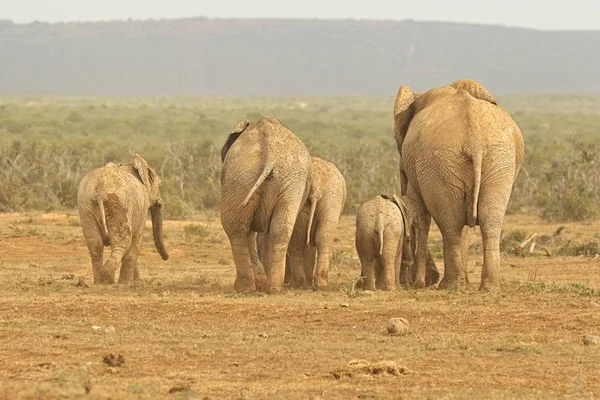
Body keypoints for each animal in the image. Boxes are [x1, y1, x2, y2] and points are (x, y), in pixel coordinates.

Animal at [77, 153, 169, 284]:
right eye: (160, 186)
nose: (166, 257)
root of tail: (100, 187)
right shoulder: (142, 207)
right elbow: (136, 239)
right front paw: (129, 283)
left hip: (85, 205)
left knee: (95, 244)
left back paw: (99, 281)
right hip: (119, 203)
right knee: (123, 242)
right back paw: (107, 279)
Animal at [221, 117, 314, 292]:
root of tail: (270, 155)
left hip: (241, 178)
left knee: (235, 228)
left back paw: (244, 288)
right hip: (286, 181)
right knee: (280, 230)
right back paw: (273, 288)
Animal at [286, 156, 346, 290]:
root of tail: (317, 185)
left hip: (329, 195)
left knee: (303, 239)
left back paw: (303, 285)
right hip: (331, 196)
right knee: (319, 238)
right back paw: (314, 285)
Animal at [392, 78, 524, 290]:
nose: (408, 281)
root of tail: (475, 142)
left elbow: (420, 214)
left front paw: (419, 284)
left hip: (440, 163)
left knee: (451, 222)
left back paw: (450, 285)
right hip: (498, 161)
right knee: (489, 219)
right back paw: (488, 287)